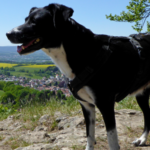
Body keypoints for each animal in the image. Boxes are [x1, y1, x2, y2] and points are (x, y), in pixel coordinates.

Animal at [6, 3, 150, 150]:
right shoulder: (87, 106)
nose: (8, 33)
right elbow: (89, 136)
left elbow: (112, 140)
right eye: (25, 20)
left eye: (35, 21)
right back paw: (142, 139)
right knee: (147, 115)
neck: (83, 51)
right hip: (141, 94)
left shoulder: (106, 104)